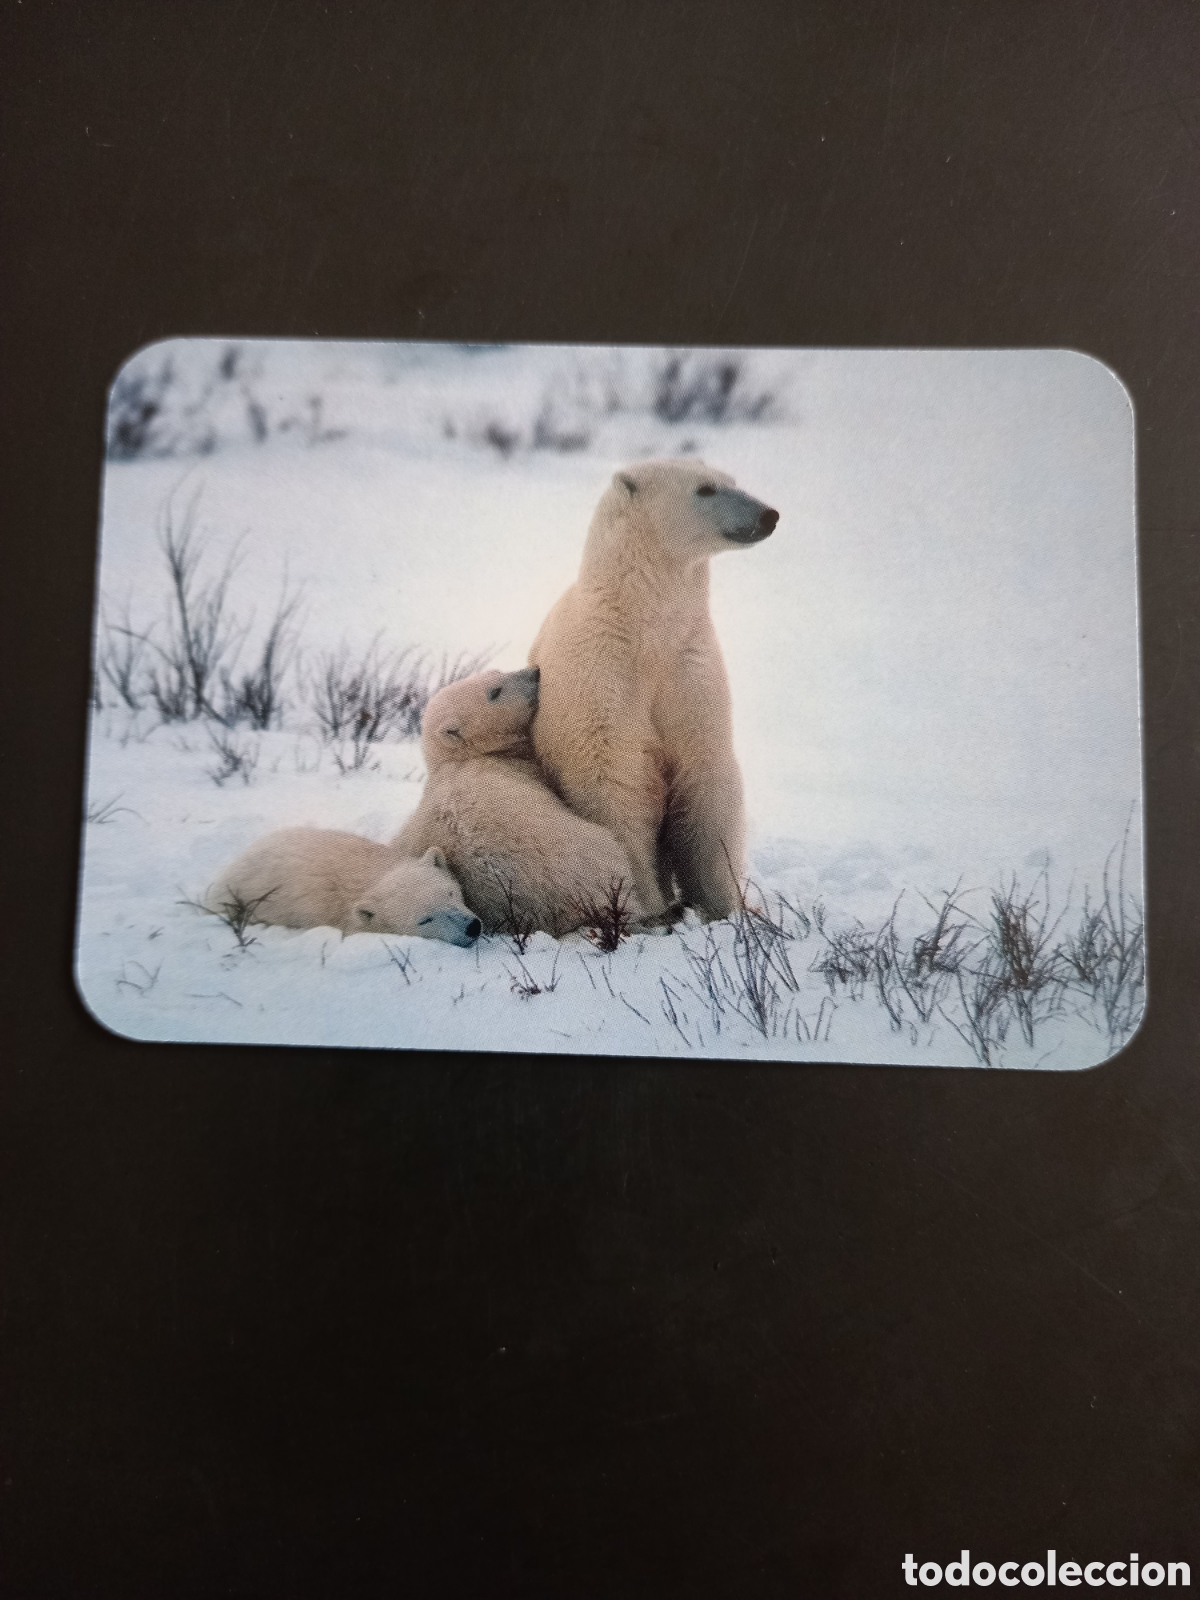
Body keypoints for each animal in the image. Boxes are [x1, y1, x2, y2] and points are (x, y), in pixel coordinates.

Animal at [389, 667, 648, 937]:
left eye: (496, 672)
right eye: (495, 691)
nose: (535, 672)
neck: (462, 758)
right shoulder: (524, 772)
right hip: (587, 852)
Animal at [527, 458, 778, 923]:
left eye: (732, 482)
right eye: (705, 489)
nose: (768, 515)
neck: (644, 628)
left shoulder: (689, 669)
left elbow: (705, 775)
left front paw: (727, 906)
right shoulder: (602, 674)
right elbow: (613, 782)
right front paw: (651, 907)